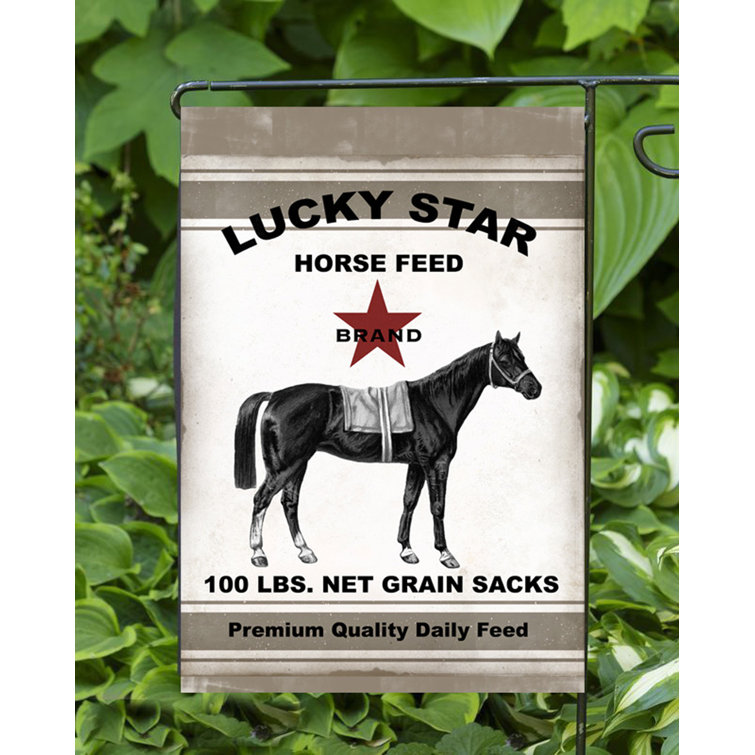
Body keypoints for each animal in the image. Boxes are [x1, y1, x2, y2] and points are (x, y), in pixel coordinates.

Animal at [234, 331, 542, 569]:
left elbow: (409, 501)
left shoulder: (416, 464)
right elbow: (437, 506)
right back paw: (258, 553)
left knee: (289, 503)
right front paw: (445, 554)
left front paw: (407, 550)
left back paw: (305, 551)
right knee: (261, 499)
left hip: (300, 463)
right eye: (505, 360)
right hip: (283, 466)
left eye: (523, 357)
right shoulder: (436, 463)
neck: (434, 403)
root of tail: (275, 396)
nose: (534, 388)